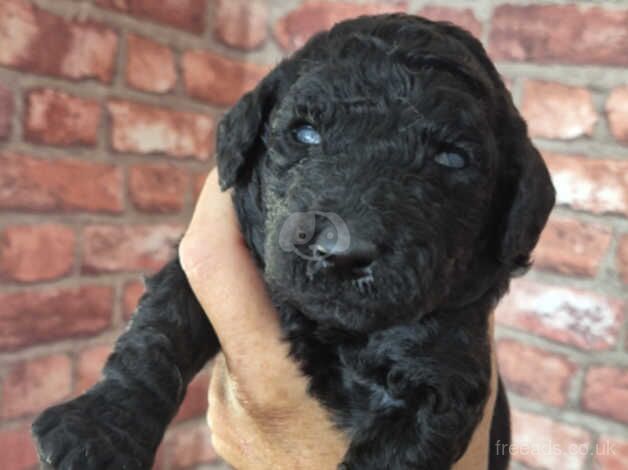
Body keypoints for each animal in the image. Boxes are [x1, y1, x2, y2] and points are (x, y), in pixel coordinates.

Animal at [34, 12, 556, 468]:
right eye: (305, 133)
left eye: (452, 159)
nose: (342, 252)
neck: (330, 330)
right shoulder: (206, 262)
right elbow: (158, 334)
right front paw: (97, 432)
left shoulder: (440, 367)